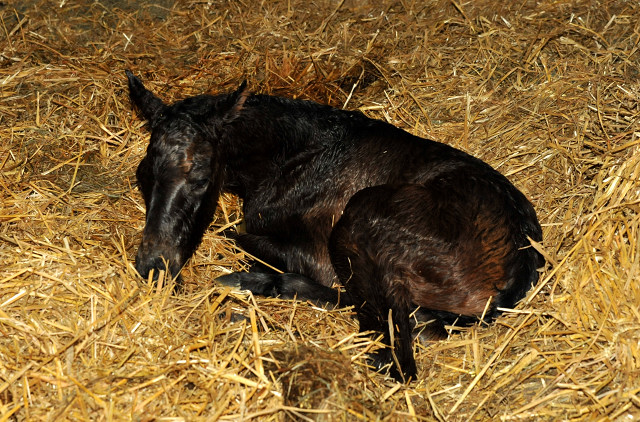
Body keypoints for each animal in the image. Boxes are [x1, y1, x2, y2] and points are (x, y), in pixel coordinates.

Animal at [126, 71, 544, 384]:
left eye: (199, 178)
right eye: (142, 176)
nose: (153, 267)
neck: (289, 156)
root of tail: (516, 273)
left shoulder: (313, 252)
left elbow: (235, 234)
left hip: (362, 218)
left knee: (397, 357)